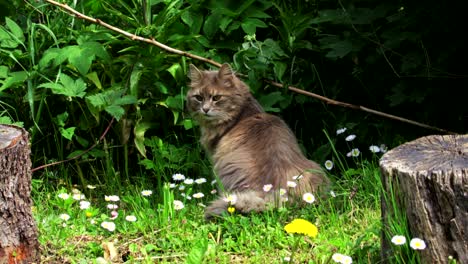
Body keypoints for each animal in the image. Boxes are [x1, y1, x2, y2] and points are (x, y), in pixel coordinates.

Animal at [186, 63, 330, 219]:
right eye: (199, 97)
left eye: (216, 97)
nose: (205, 109)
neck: (241, 114)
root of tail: (274, 192)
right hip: (316, 169)